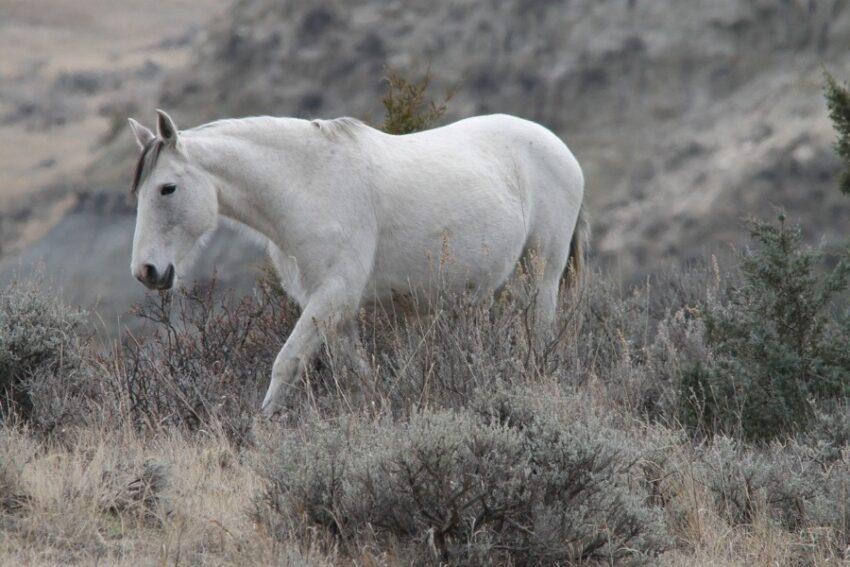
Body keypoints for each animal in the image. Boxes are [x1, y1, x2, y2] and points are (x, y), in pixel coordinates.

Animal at [127, 108, 584, 414]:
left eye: (167, 188)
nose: (146, 272)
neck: (309, 185)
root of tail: (559, 147)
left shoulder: (334, 297)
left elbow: (286, 363)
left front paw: (260, 431)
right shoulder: (333, 309)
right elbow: (359, 375)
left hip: (541, 275)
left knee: (539, 334)